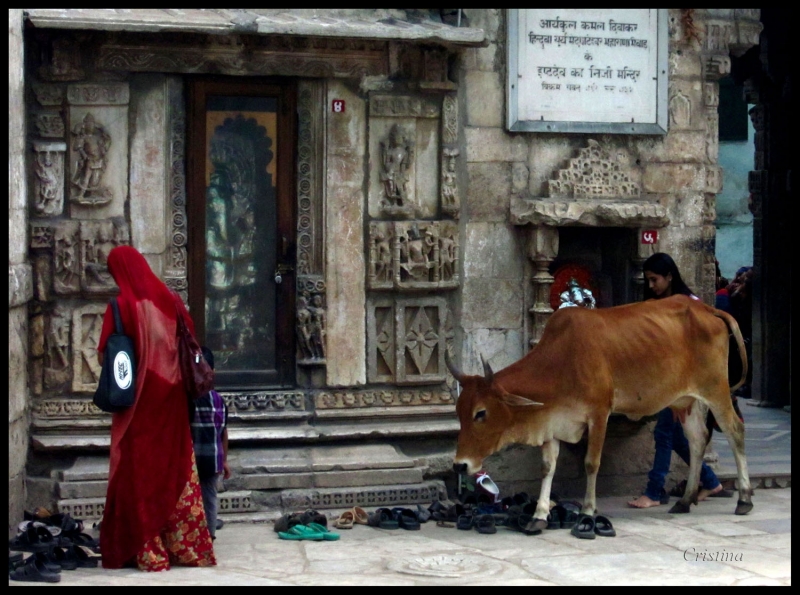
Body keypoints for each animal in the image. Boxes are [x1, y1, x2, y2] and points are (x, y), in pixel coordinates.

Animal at [446, 294, 752, 532]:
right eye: (458, 411)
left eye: (481, 413)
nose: (460, 465)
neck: (561, 362)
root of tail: (707, 309)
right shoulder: (553, 421)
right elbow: (547, 467)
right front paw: (539, 515)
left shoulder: (599, 414)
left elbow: (591, 464)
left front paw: (587, 511)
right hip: (684, 401)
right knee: (698, 440)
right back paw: (686, 500)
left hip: (716, 390)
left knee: (735, 431)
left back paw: (744, 499)